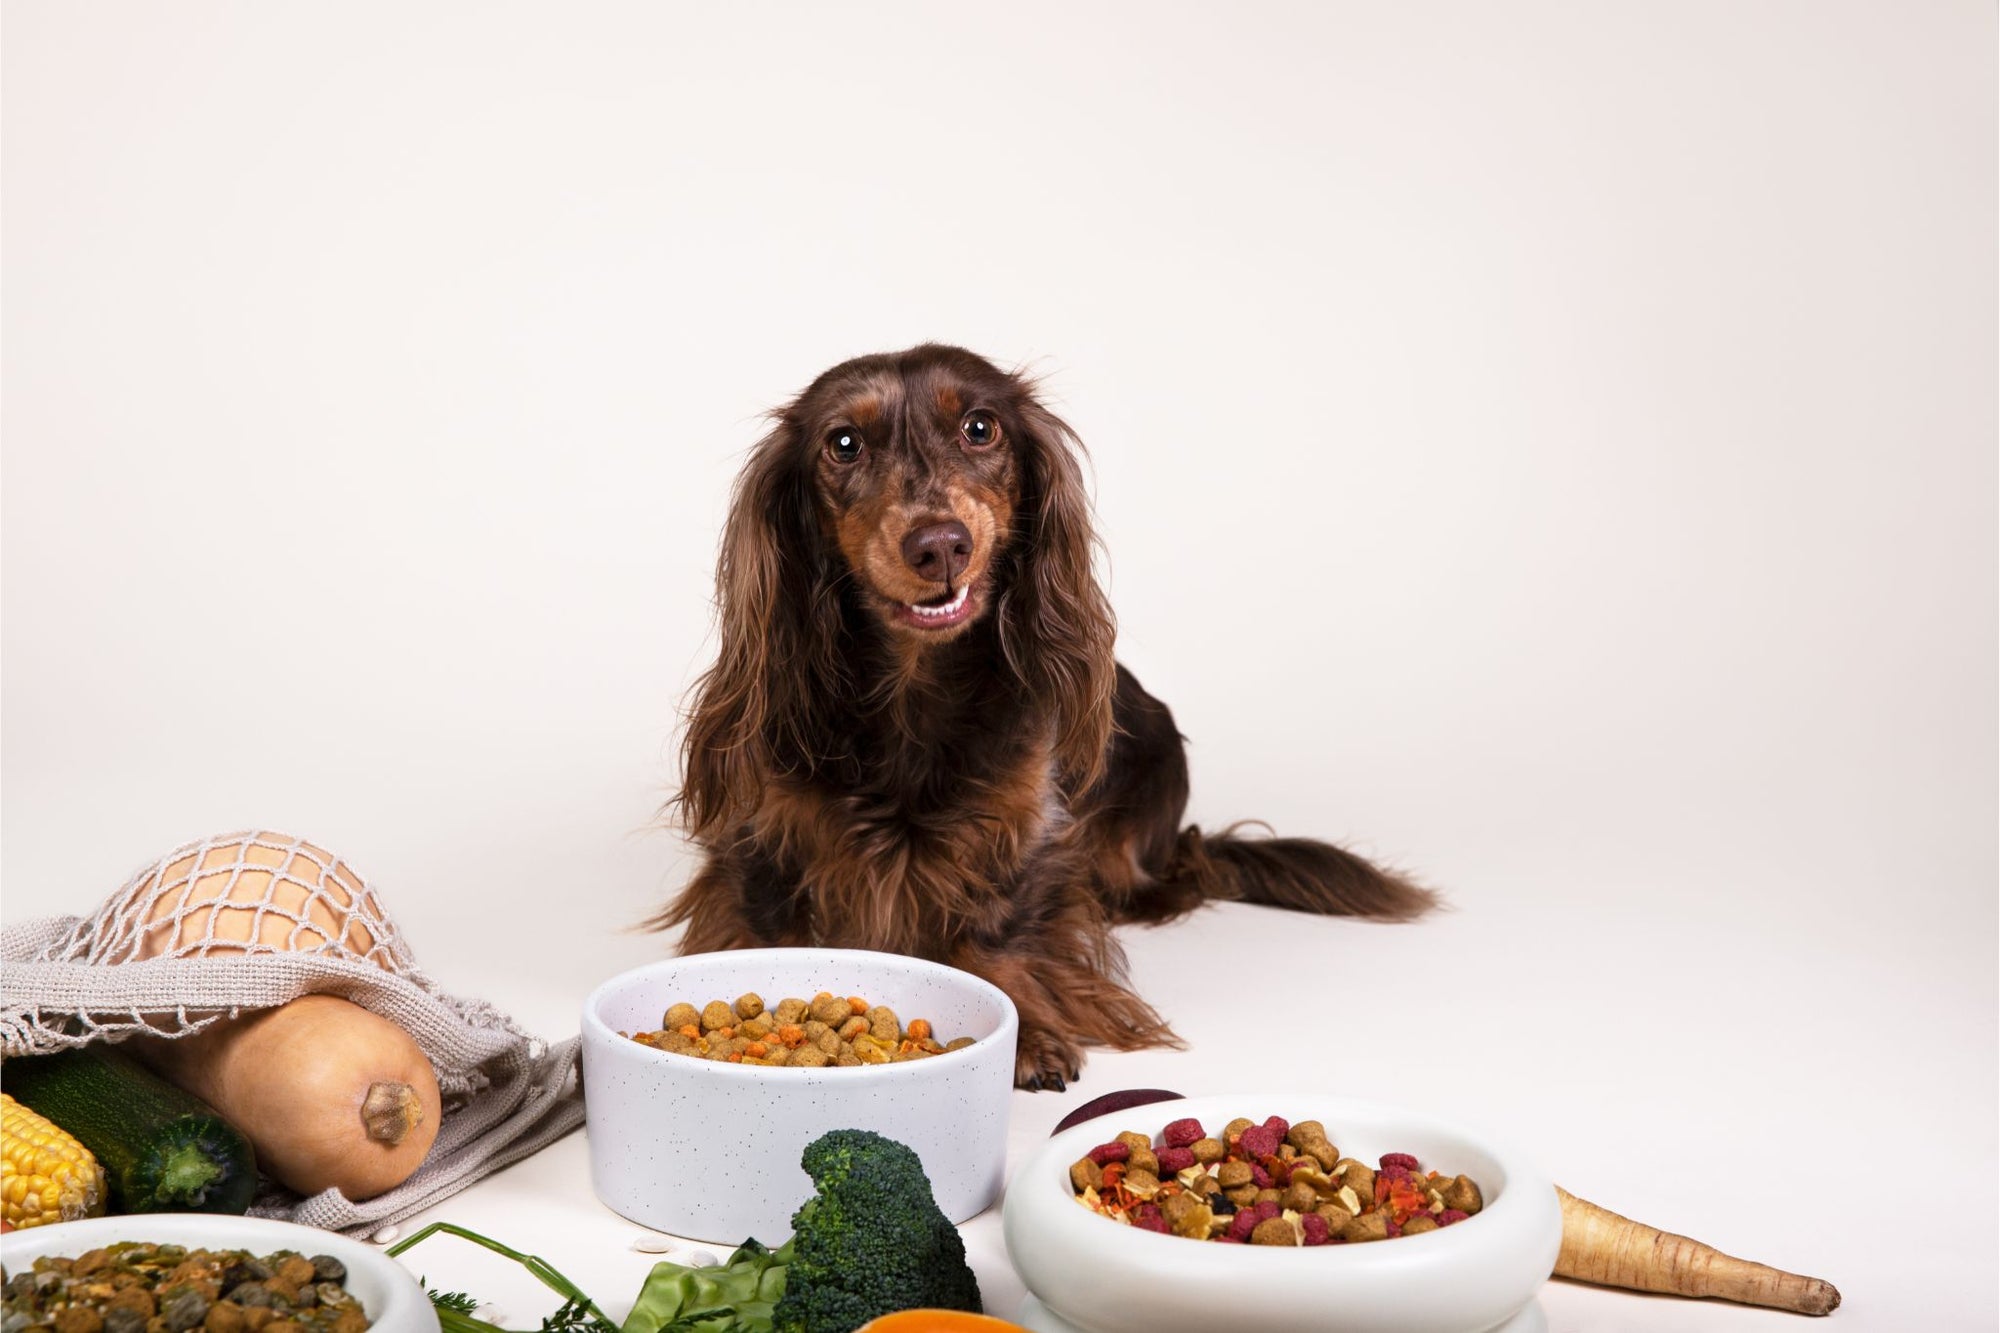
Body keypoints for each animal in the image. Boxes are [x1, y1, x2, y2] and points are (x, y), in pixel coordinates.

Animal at [664, 344, 1432, 1088]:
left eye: (980, 427)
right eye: (843, 443)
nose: (939, 545)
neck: (912, 686)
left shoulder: (1024, 825)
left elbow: (995, 930)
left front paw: (1026, 1031)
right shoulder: (763, 830)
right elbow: (767, 924)